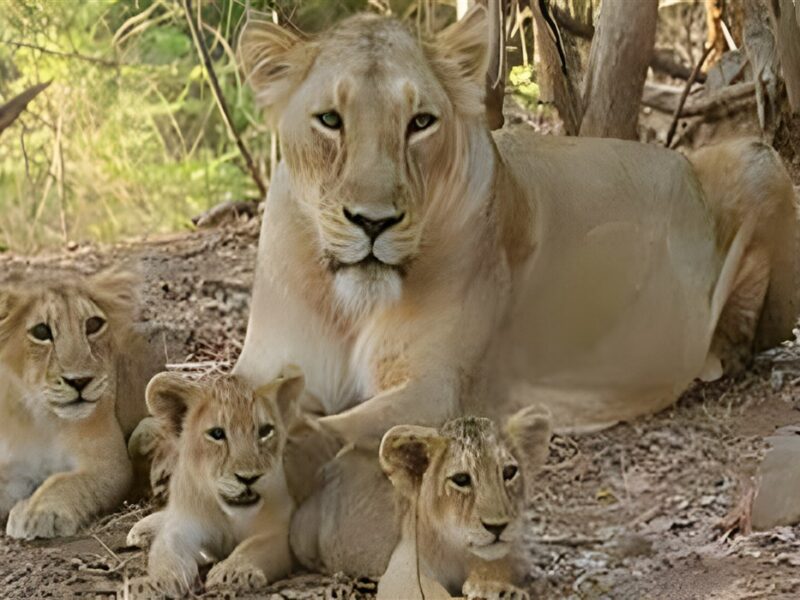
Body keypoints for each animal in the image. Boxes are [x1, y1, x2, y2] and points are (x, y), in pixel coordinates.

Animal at [0, 268, 161, 539]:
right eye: (41, 332)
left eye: (93, 325)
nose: (80, 381)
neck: (39, 416)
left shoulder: (108, 465)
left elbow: (65, 481)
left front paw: (36, 512)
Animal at [128, 369, 303, 597]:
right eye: (217, 434)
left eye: (265, 431)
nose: (248, 478)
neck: (228, 514)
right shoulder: (182, 526)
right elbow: (167, 556)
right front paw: (152, 584)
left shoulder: (280, 527)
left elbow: (255, 546)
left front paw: (233, 572)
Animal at [233, 6, 800, 442]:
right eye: (330, 120)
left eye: (420, 123)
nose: (374, 223)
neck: (346, 305)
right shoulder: (262, 367)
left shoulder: (437, 391)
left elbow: (321, 433)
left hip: (759, 157)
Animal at [290, 406, 551, 599]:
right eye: (461, 479)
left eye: (509, 472)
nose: (497, 527)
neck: (459, 550)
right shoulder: (403, 572)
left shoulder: (516, 555)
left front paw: (495, 588)